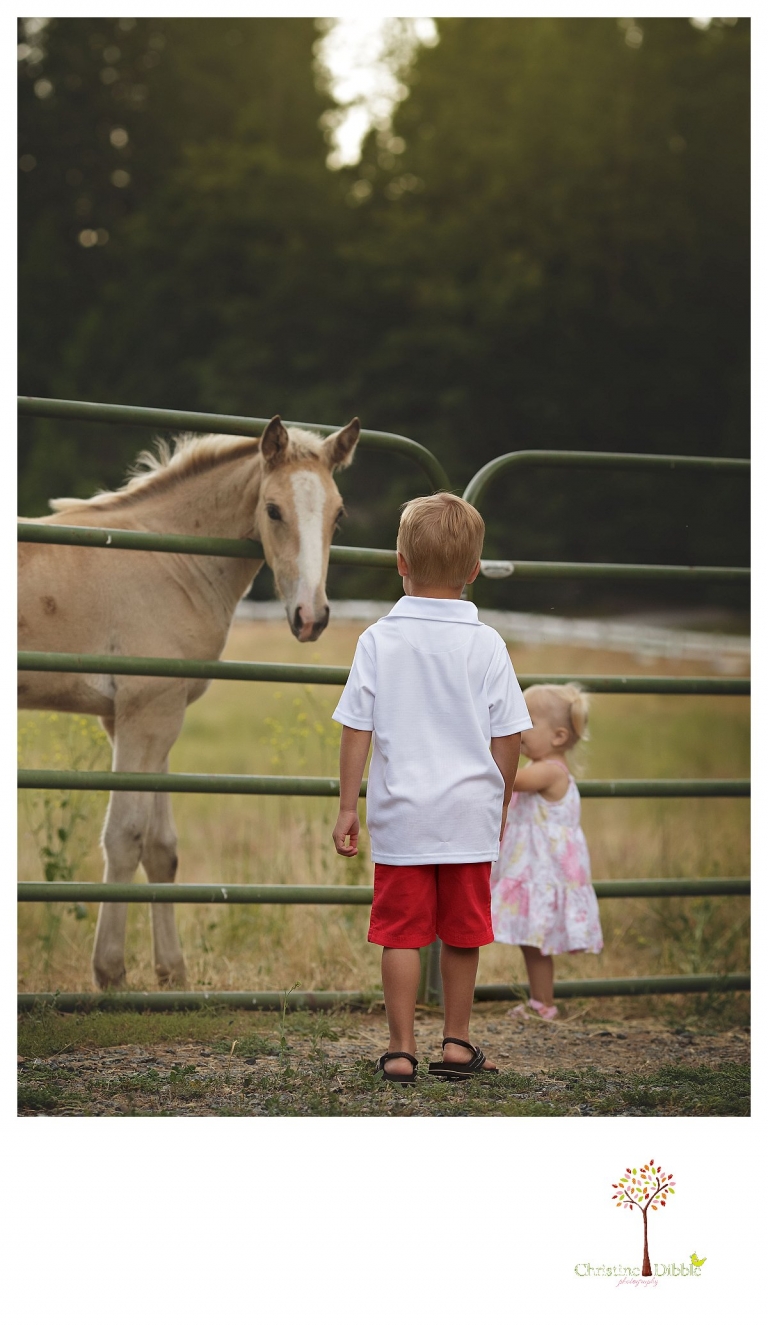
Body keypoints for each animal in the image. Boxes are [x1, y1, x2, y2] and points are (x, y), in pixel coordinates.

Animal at [18, 415, 360, 988]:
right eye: (273, 509)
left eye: (338, 514)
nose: (311, 617)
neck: (168, 559)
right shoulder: (147, 713)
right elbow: (126, 836)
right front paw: (110, 972)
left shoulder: (147, 717)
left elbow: (161, 848)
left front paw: (172, 974)